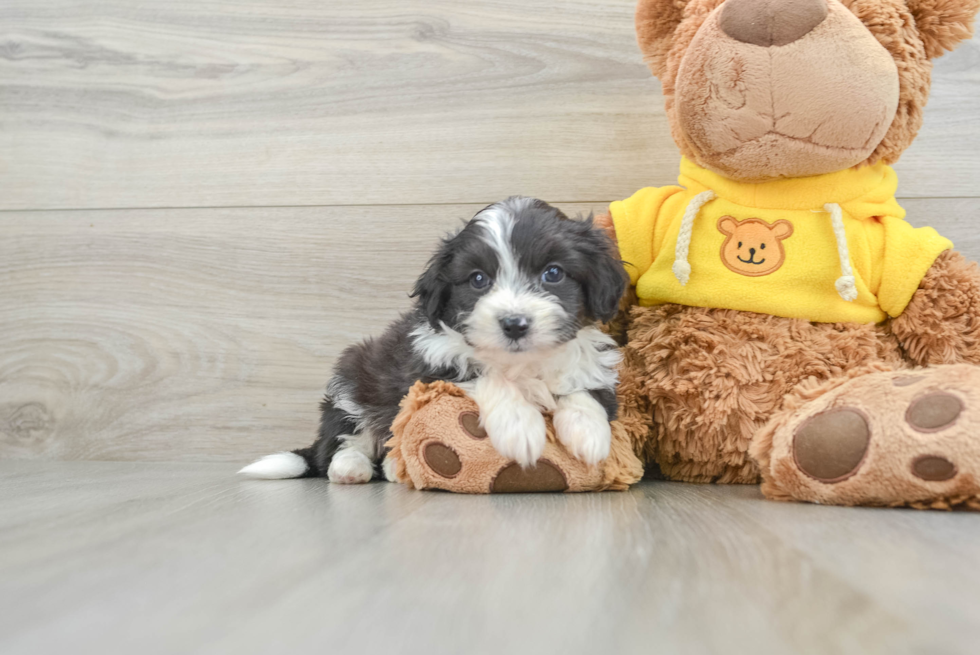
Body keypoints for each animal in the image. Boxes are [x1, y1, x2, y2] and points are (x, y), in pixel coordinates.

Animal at [239, 197, 628, 484]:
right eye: (478, 279)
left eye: (553, 273)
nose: (514, 324)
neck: (519, 362)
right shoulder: (430, 366)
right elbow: (487, 377)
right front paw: (519, 425)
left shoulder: (591, 359)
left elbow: (583, 388)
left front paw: (589, 432)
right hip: (351, 381)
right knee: (344, 440)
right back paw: (352, 468)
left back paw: (393, 468)